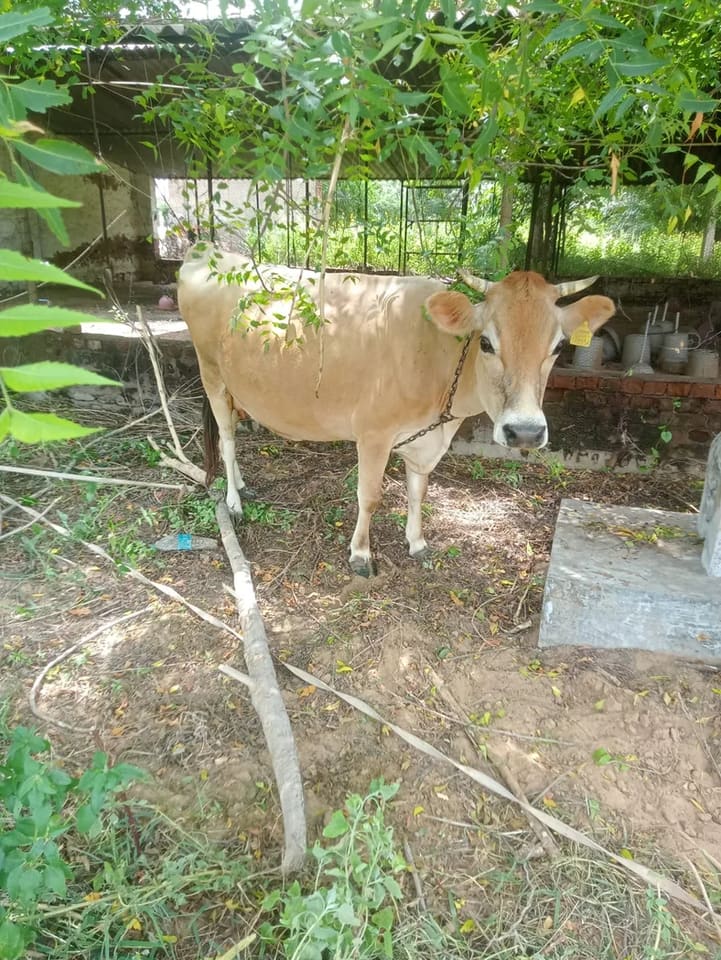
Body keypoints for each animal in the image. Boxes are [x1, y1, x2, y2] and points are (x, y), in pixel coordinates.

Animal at [178, 243, 615, 576]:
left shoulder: (424, 440)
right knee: (228, 438)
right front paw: (360, 554)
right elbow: (370, 496)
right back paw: (233, 502)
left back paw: (241, 486)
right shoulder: (373, 433)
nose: (524, 431)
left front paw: (417, 541)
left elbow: (419, 491)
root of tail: (208, 250)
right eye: (486, 342)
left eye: (559, 346)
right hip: (211, 373)